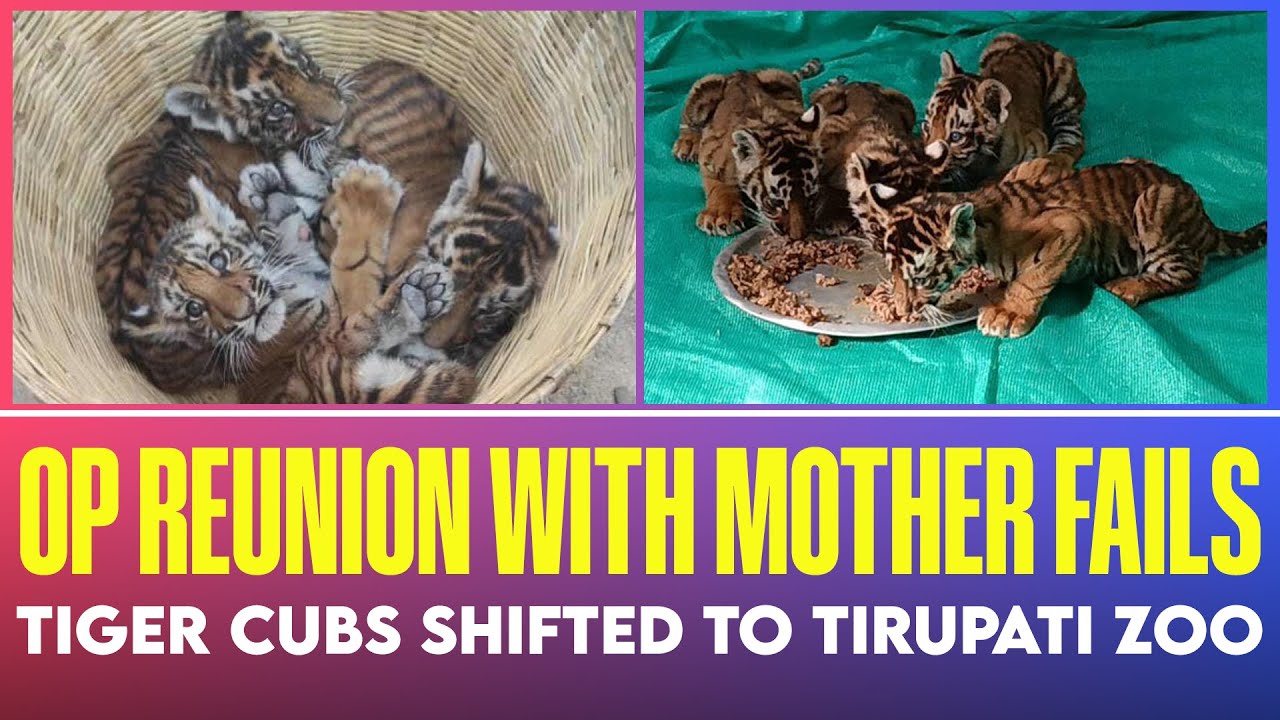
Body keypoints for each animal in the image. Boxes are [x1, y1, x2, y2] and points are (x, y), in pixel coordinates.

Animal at [672, 59, 825, 239]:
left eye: (811, 198)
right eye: (774, 202)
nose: (798, 237)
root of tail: (742, 72)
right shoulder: (710, 156)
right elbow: (719, 185)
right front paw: (721, 214)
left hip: (781, 78)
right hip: (707, 84)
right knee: (688, 121)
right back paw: (688, 143)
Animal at [846, 155, 1266, 338]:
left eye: (921, 278)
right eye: (894, 274)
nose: (903, 310)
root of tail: (1205, 219)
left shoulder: (1069, 227)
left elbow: (1032, 278)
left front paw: (1007, 314)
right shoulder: (1036, 166)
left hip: (1156, 204)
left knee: (1188, 274)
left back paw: (1129, 287)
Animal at [921, 34, 1086, 191]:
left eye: (956, 137)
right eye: (927, 127)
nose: (928, 164)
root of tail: (1036, 42)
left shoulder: (1037, 142)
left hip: (1062, 94)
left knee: (1072, 139)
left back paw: (1052, 165)